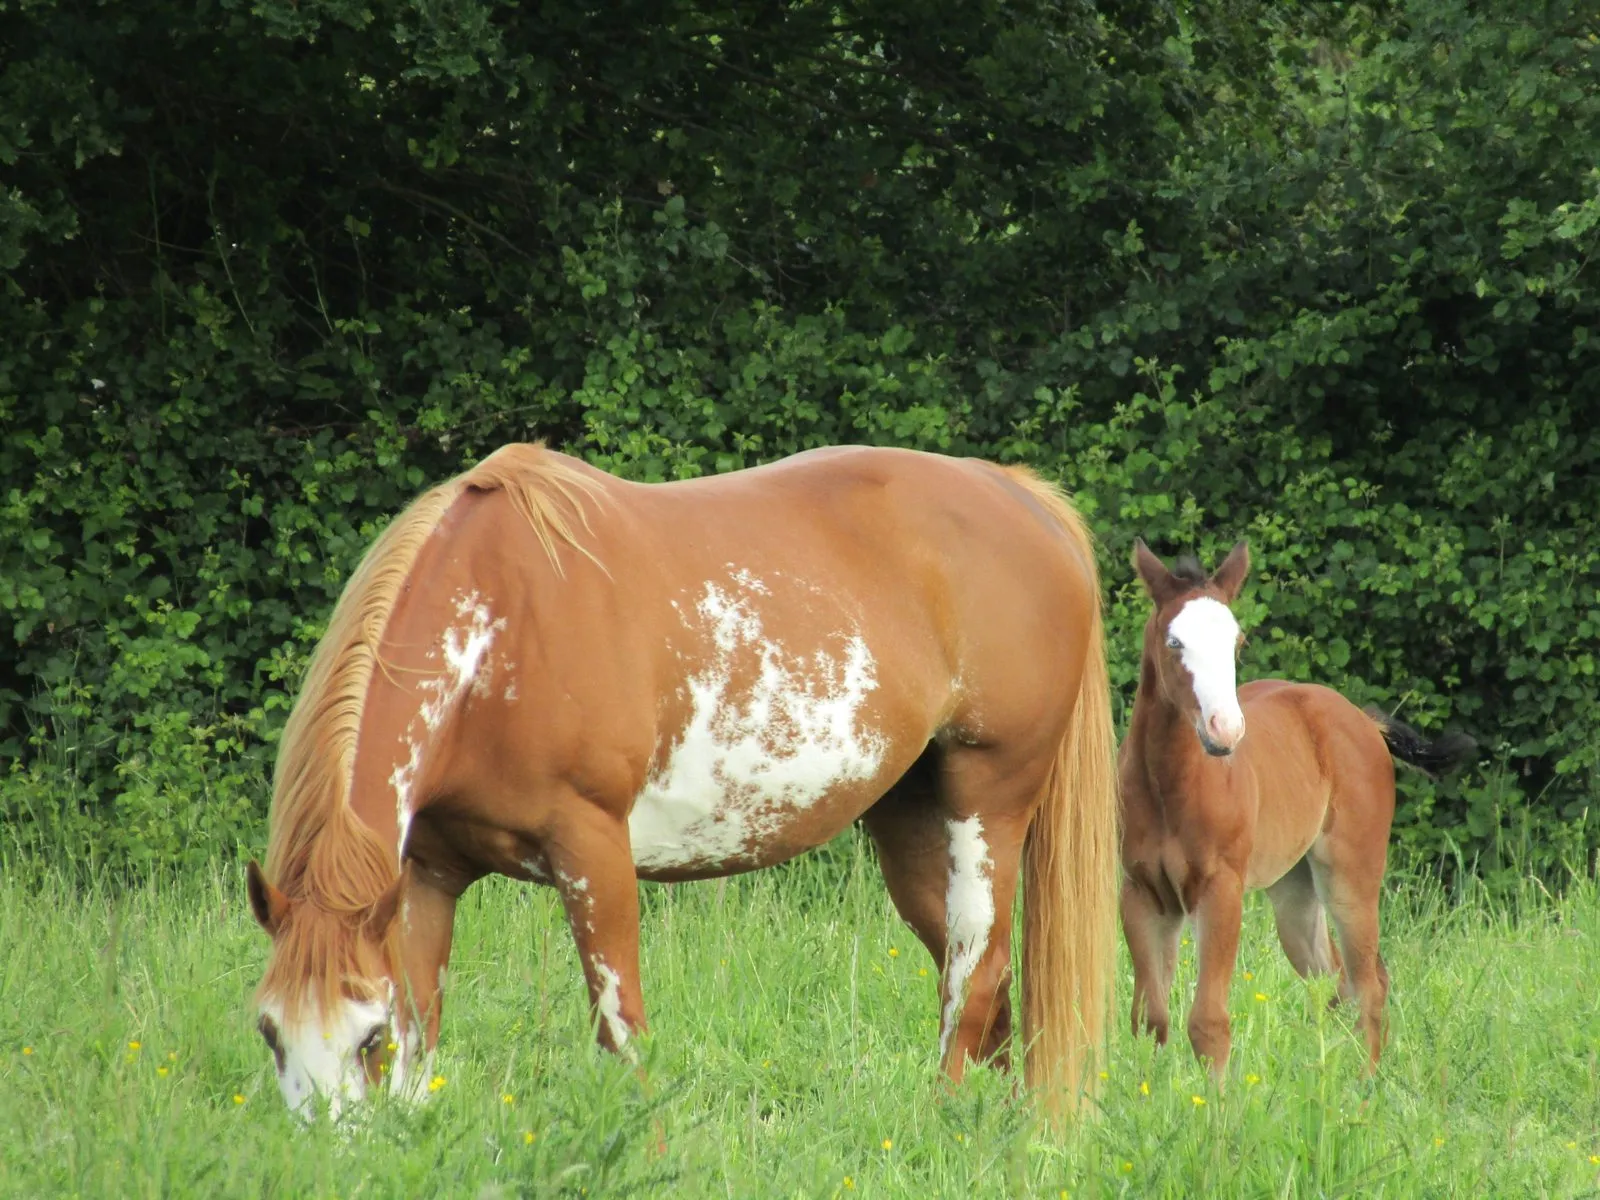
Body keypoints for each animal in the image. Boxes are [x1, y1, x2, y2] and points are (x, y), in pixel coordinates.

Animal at [244, 442, 1119, 1122]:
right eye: (268, 1031)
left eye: (363, 1037)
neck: (497, 631)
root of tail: (1020, 494)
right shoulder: (425, 874)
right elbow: (423, 1027)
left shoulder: (591, 849)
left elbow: (620, 1028)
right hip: (908, 818)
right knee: (973, 978)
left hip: (989, 798)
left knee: (977, 967)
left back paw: (945, 1123)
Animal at [1117, 539, 1474, 1078]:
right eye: (1175, 642)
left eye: (1237, 642)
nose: (1225, 730)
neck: (1168, 789)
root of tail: (1362, 719)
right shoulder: (1142, 893)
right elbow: (1149, 1019)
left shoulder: (1221, 890)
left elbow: (1208, 1022)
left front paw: (1216, 1102)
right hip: (1295, 891)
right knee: (1337, 982)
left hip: (1349, 875)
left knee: (1368, 982)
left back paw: (1365, 1086)